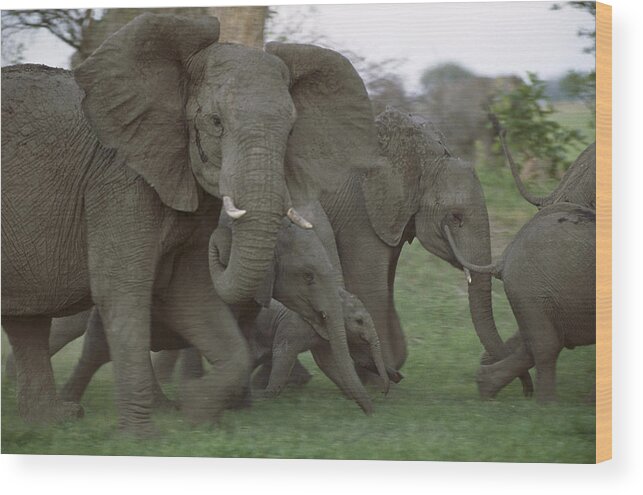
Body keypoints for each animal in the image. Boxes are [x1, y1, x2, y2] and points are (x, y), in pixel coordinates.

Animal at [0, 13, 382, 434]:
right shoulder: (119, 180)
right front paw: (142, 437)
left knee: (27, 321)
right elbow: (122, 289)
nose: (219, 245)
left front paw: (196, 409)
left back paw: (52, 420)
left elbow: (190, 295)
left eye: (292, 130)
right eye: (215, 122)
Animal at [250, 290, 402, 400]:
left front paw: (396, 376)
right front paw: (268, 395)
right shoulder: (292, 326)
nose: (384, 393)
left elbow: (332, 362)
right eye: (359, 321)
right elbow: (284, 353)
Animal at [322, 109, 532, 392]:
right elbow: (371, 286)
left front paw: (389, 370)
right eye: (455, 217)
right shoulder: (361, 210)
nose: (527, 391)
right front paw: (379, 382)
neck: (421, 158)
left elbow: (386, 283)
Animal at [446, 203, 596, 402]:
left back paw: (488, 388)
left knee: (535, 344)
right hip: (530, 290)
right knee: (547, 346)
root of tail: (506, 255)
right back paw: (547, 405)